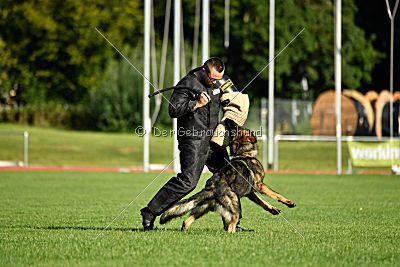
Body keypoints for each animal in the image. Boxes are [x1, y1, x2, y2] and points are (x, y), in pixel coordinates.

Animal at [159, 127, 294, 232]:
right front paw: (288, 202)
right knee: (230, 227)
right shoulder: (259, 185)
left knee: (186, 221)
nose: (235, 125)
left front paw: (273, 209)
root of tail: (212, 187)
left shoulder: (251, 193)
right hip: (235, 207)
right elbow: (275, 194)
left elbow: (263, 202)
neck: (245, 154)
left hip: (204, 208)